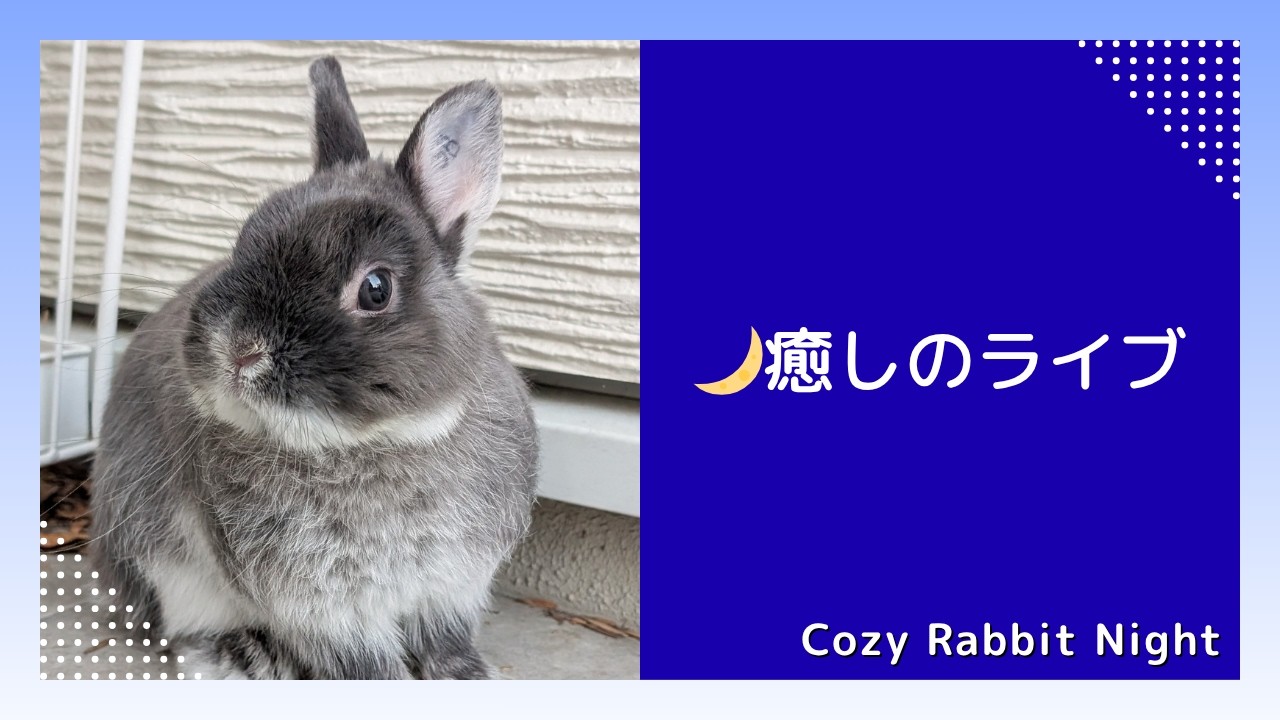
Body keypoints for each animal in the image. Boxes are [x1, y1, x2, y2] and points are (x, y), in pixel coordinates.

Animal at [88, 57, 538, 679]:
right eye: (243, 238)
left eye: (375, 288)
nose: (240, 349)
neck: (369, 444)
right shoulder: (322, 607)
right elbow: (363, 663)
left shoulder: (450, 587)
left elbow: (444, 642)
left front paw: (467, 677)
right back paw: (245, 655)